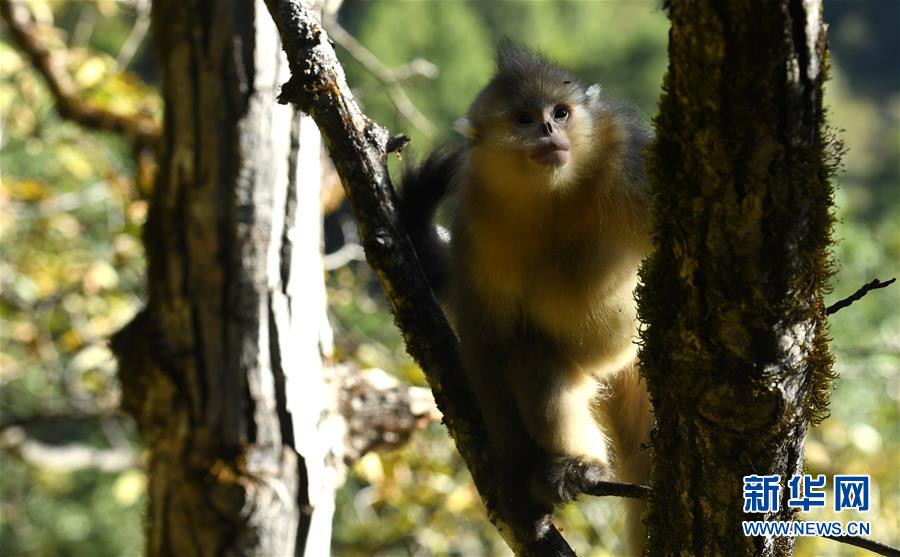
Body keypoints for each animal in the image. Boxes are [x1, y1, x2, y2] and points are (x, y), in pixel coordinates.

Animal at [400, 42, 652, 552]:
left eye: (560, 112)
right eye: (524, 119)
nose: (550, 131)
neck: (552, 194)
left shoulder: (628, 161)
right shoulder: (477, 223)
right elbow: (490, 346)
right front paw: (516, 484)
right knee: (535, 362)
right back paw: (580, 466)